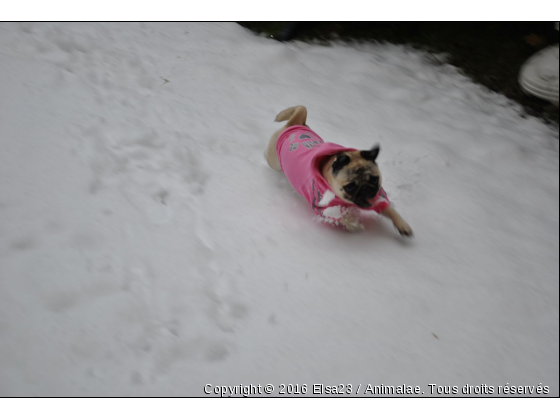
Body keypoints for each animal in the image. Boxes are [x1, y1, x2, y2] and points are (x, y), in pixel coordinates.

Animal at [264, 105, 414, 236]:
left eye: (375, 179)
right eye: (350, 187)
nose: (366, 189)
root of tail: (294, 124)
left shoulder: (378, 197)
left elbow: (390, 209)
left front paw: (402, 225)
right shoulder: (325, 208)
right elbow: (344, 215)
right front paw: (354, 224)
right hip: (274, 161)